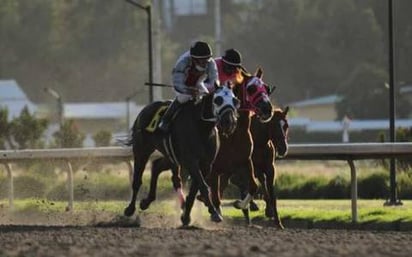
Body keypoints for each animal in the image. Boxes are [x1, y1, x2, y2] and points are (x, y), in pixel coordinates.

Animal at [123, 85, 238, 225]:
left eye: (235, 100)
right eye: (218, 100)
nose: (229, 122)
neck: (202, 127)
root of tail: (144, 110)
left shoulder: (206, 164)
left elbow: (195, 189)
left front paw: (186, 216)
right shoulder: (191, 161)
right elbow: (203, 187)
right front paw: (214, 213)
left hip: (172, 156)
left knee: (157, 166)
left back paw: (146, 201)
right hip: (142, 151)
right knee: (137, 180)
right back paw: (130, 209)